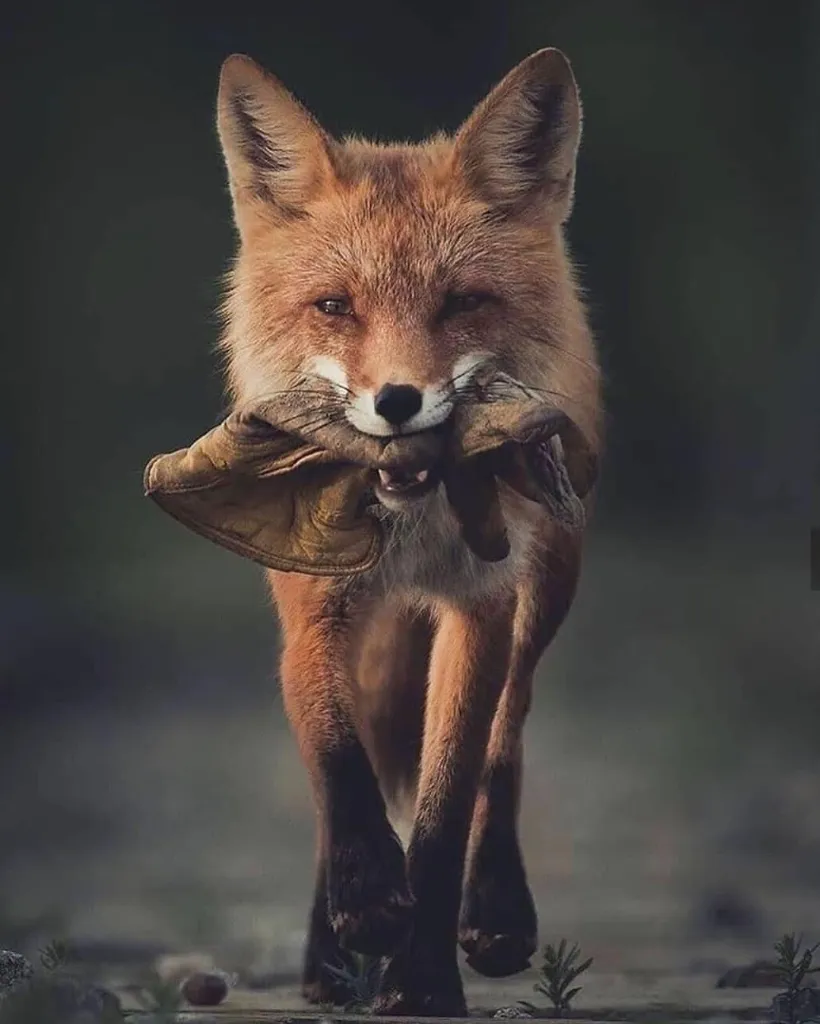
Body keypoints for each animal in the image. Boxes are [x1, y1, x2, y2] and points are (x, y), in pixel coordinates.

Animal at [213, 46, 602, 1016]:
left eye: (462, 302)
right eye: (334, 306)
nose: (397, 402)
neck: (412, 532)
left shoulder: (480, 606)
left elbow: (445, 803)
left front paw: (422, 977)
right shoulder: (312, 604)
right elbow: (332, 751)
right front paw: (361, 904)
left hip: (548, 585)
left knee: (508, 735)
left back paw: (495, 910)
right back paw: (329, 956)